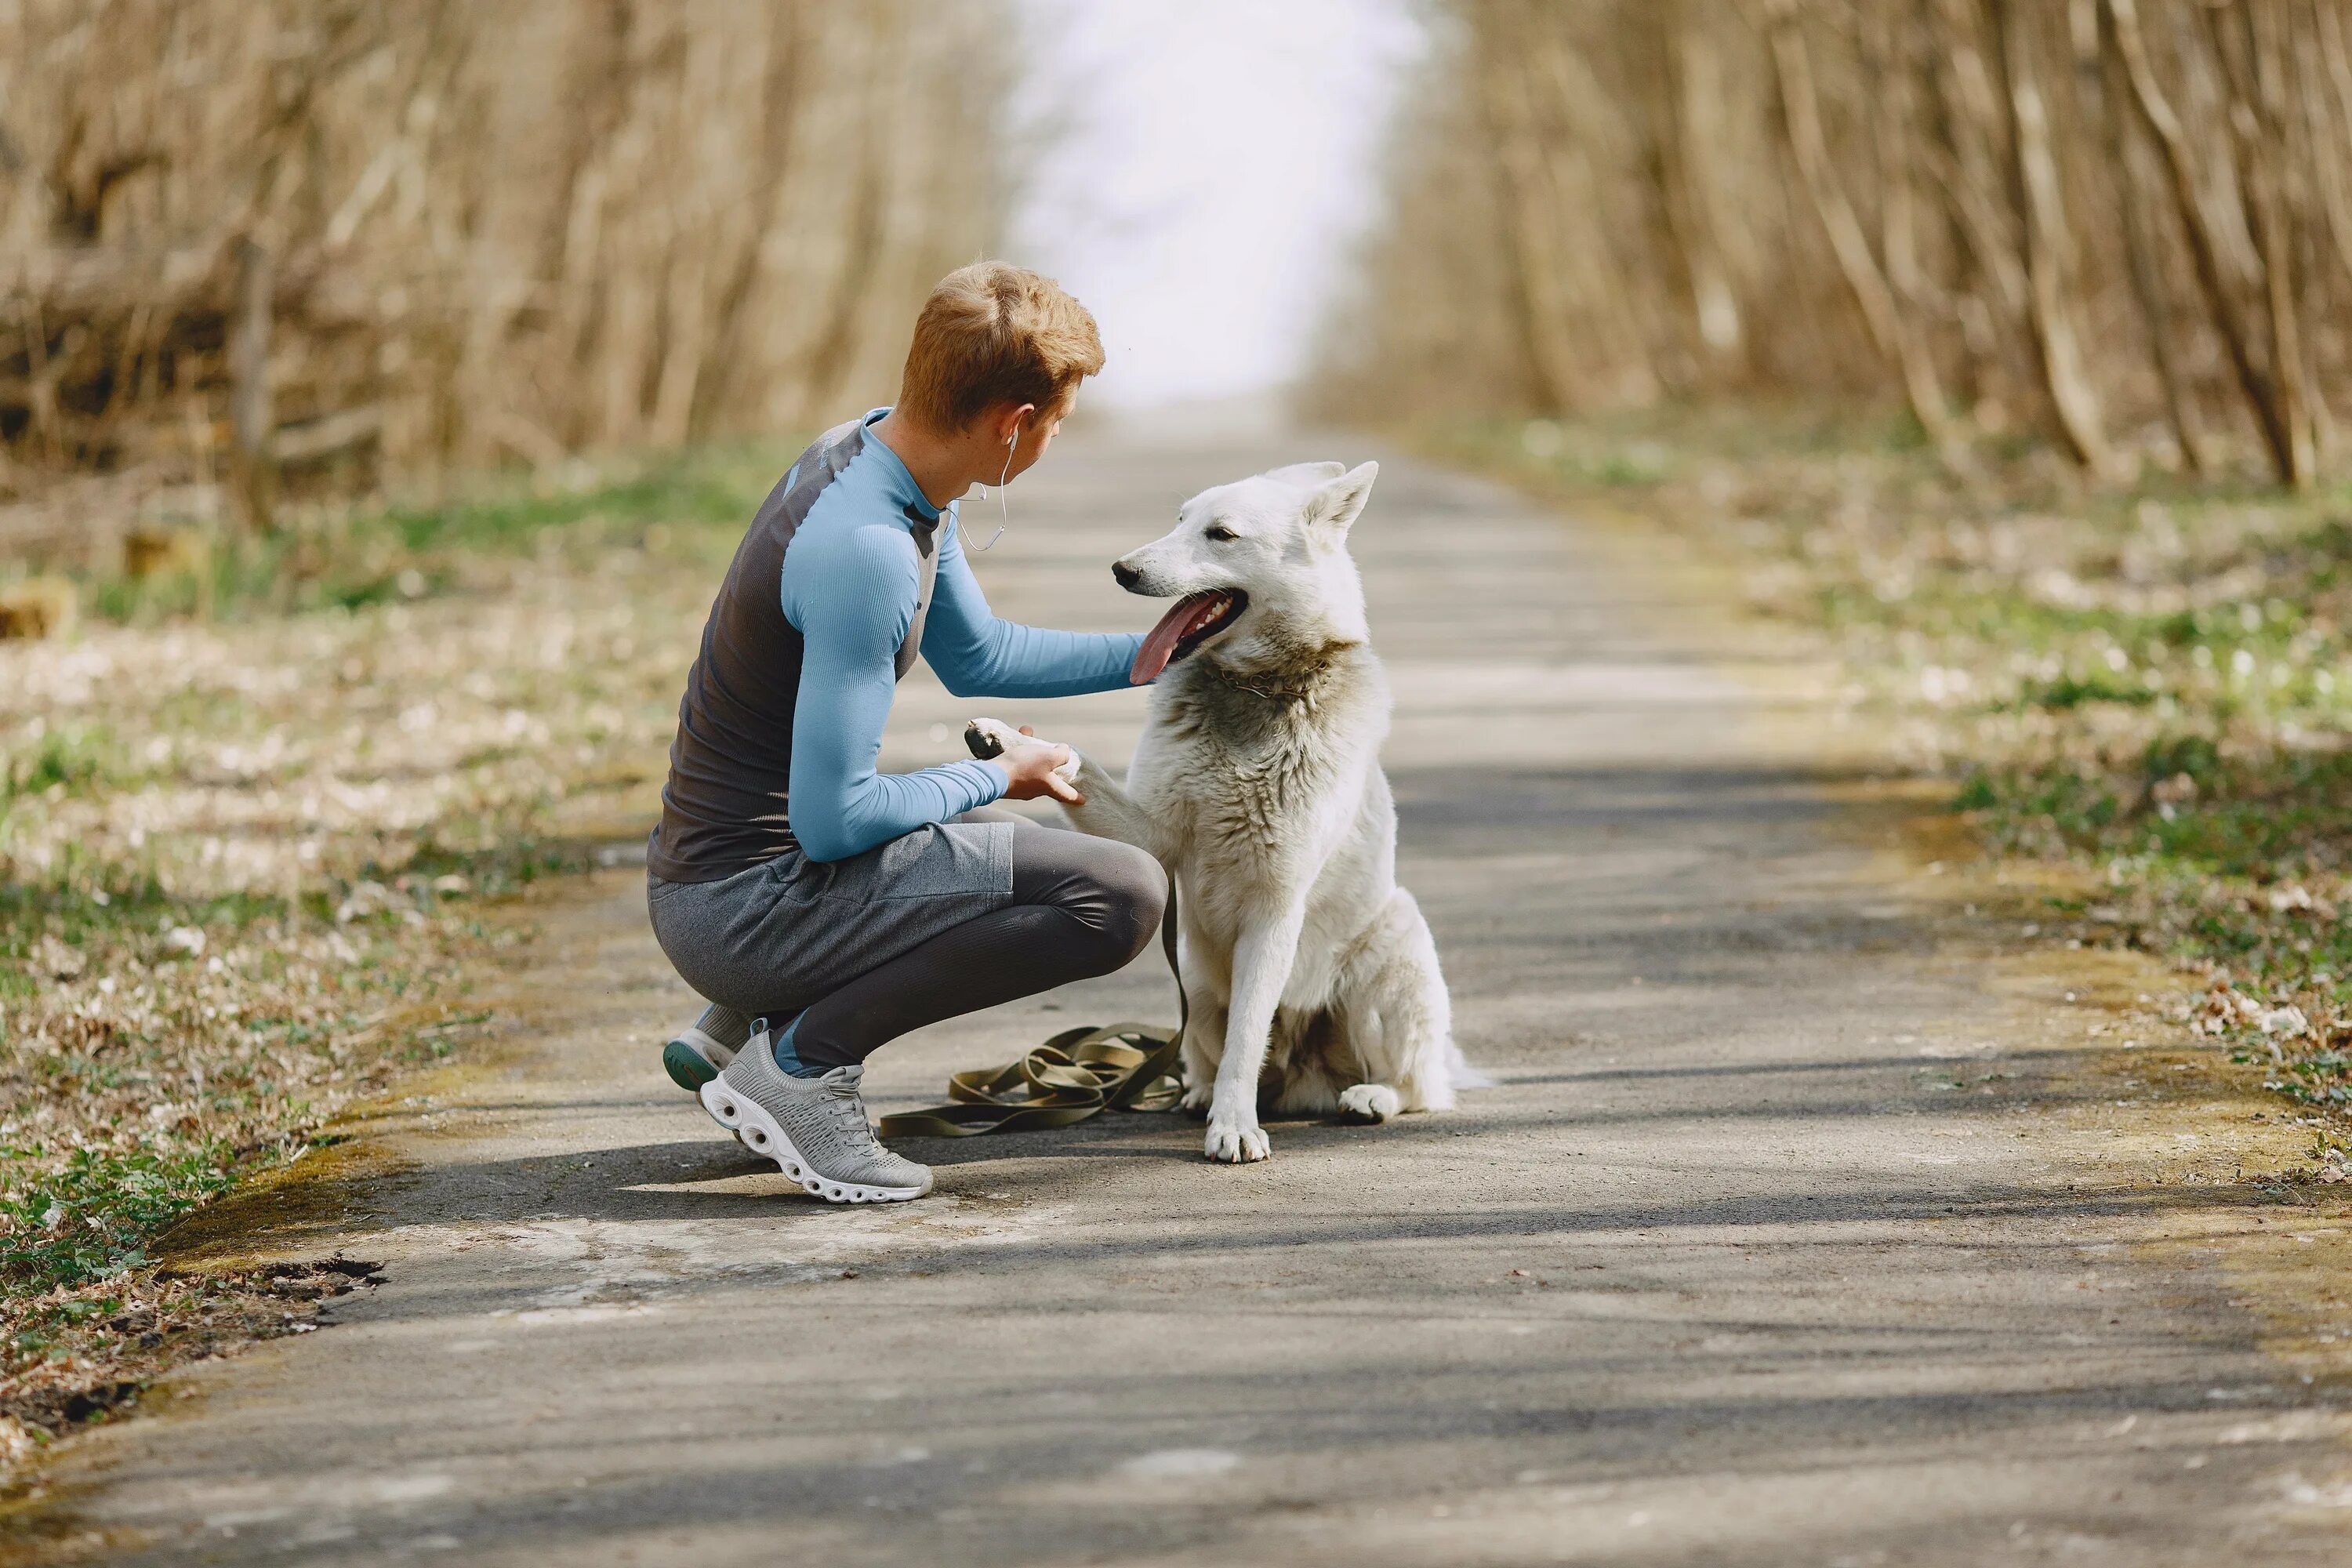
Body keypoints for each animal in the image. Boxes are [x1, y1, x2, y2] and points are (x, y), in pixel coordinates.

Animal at [983, 460, 1458, 1161]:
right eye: (1179, 520)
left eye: (1222, 534)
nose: (1122, 569)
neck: (1256, 689)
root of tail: (1305, 1080)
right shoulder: (1154, 836)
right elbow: (1079, 766)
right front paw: (1012, 747)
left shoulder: (1275, 907)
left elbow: (1247, 1038)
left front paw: (1234, 1126)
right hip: (1198, 982)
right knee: (1199, 1052)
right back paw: (1197, 1092)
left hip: (1393, 955)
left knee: (1420, 1084)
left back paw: (1370, 1097)